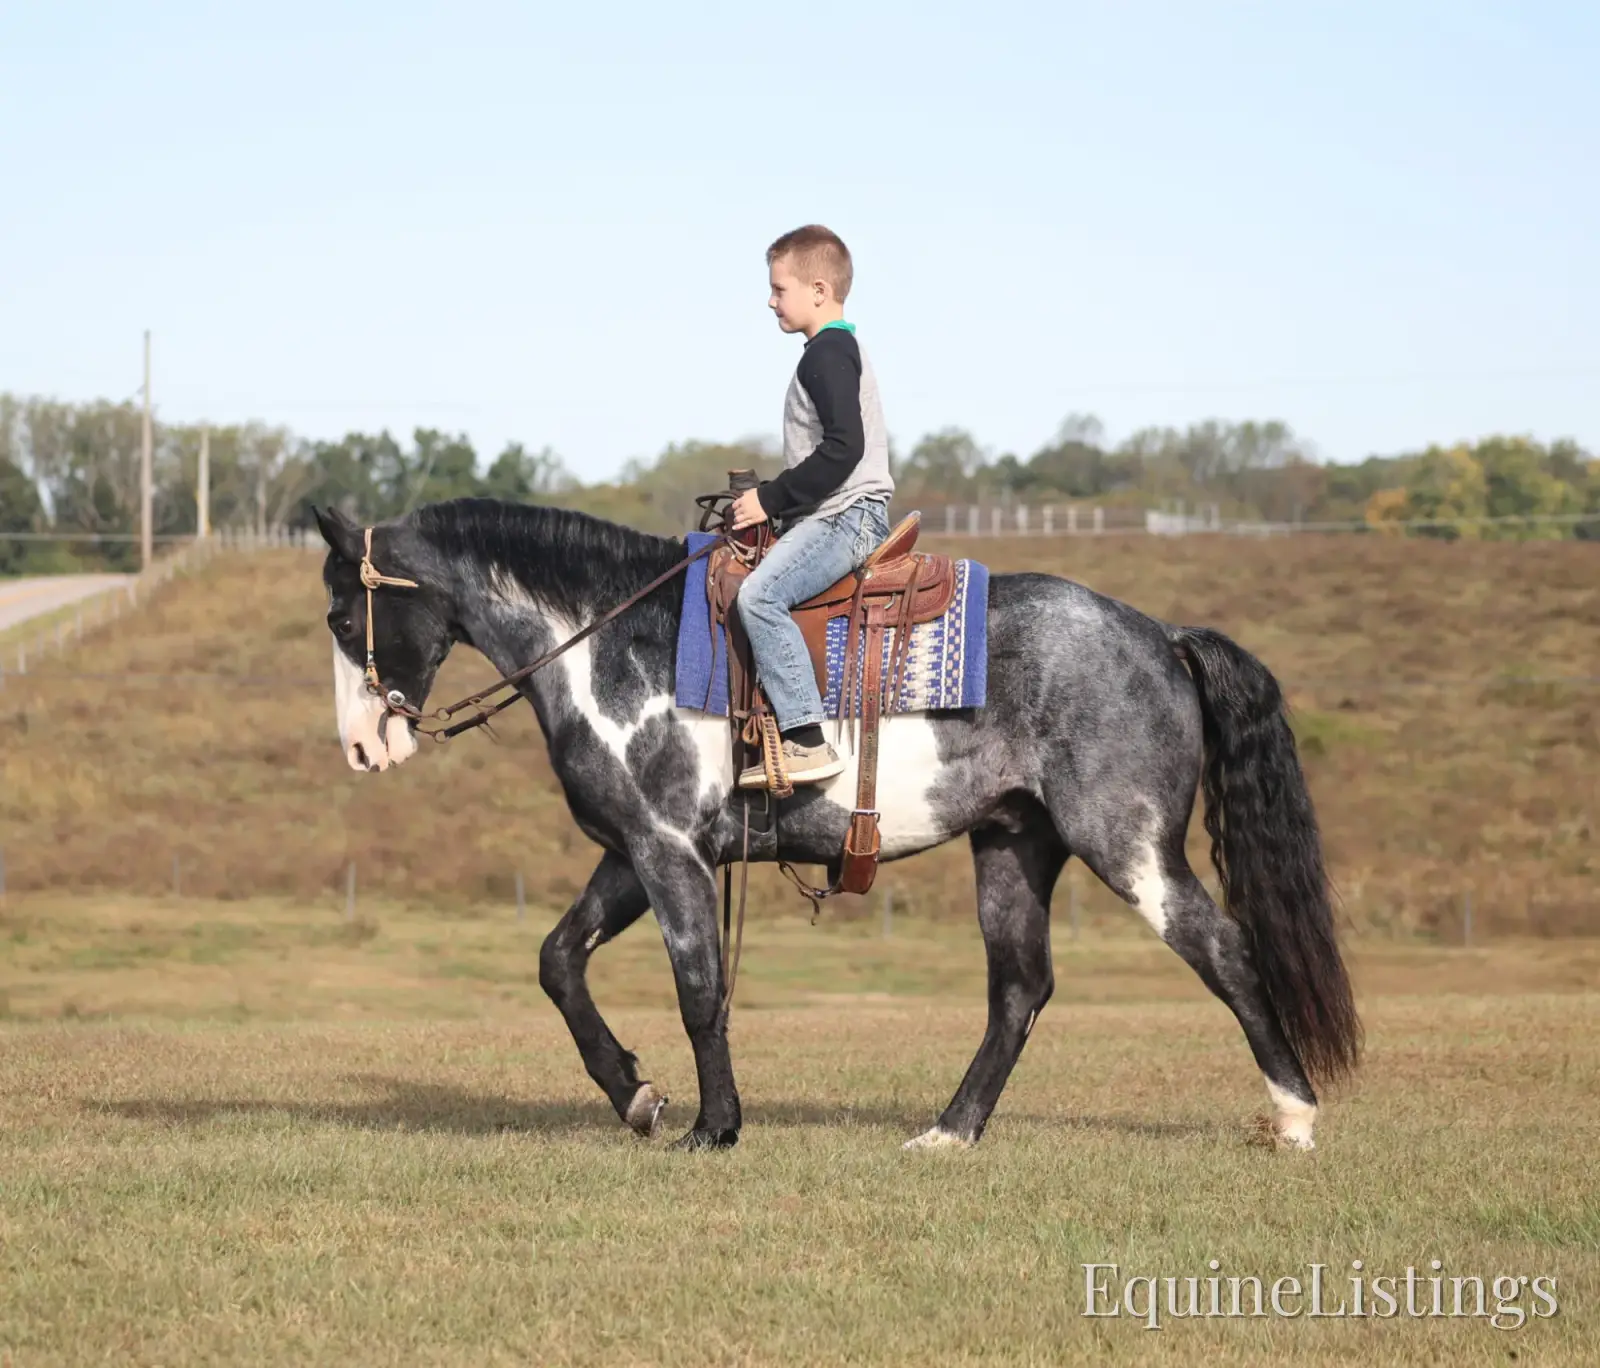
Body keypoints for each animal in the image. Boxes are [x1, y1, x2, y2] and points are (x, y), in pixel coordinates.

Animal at [311, 495, 1362, 1153]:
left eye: (341, 616)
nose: (361, 746)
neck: (616, 645)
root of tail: (1161, 635)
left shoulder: (668, 852)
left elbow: (701, 991)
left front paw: (713, 1126)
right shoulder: (637, 851)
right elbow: (558, 961)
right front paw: (638, 1096)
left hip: (1128, 844)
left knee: (1223, 951)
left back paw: (1296, 1117)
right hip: (1014, 845)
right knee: (1020, 991)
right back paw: (950, 1131)